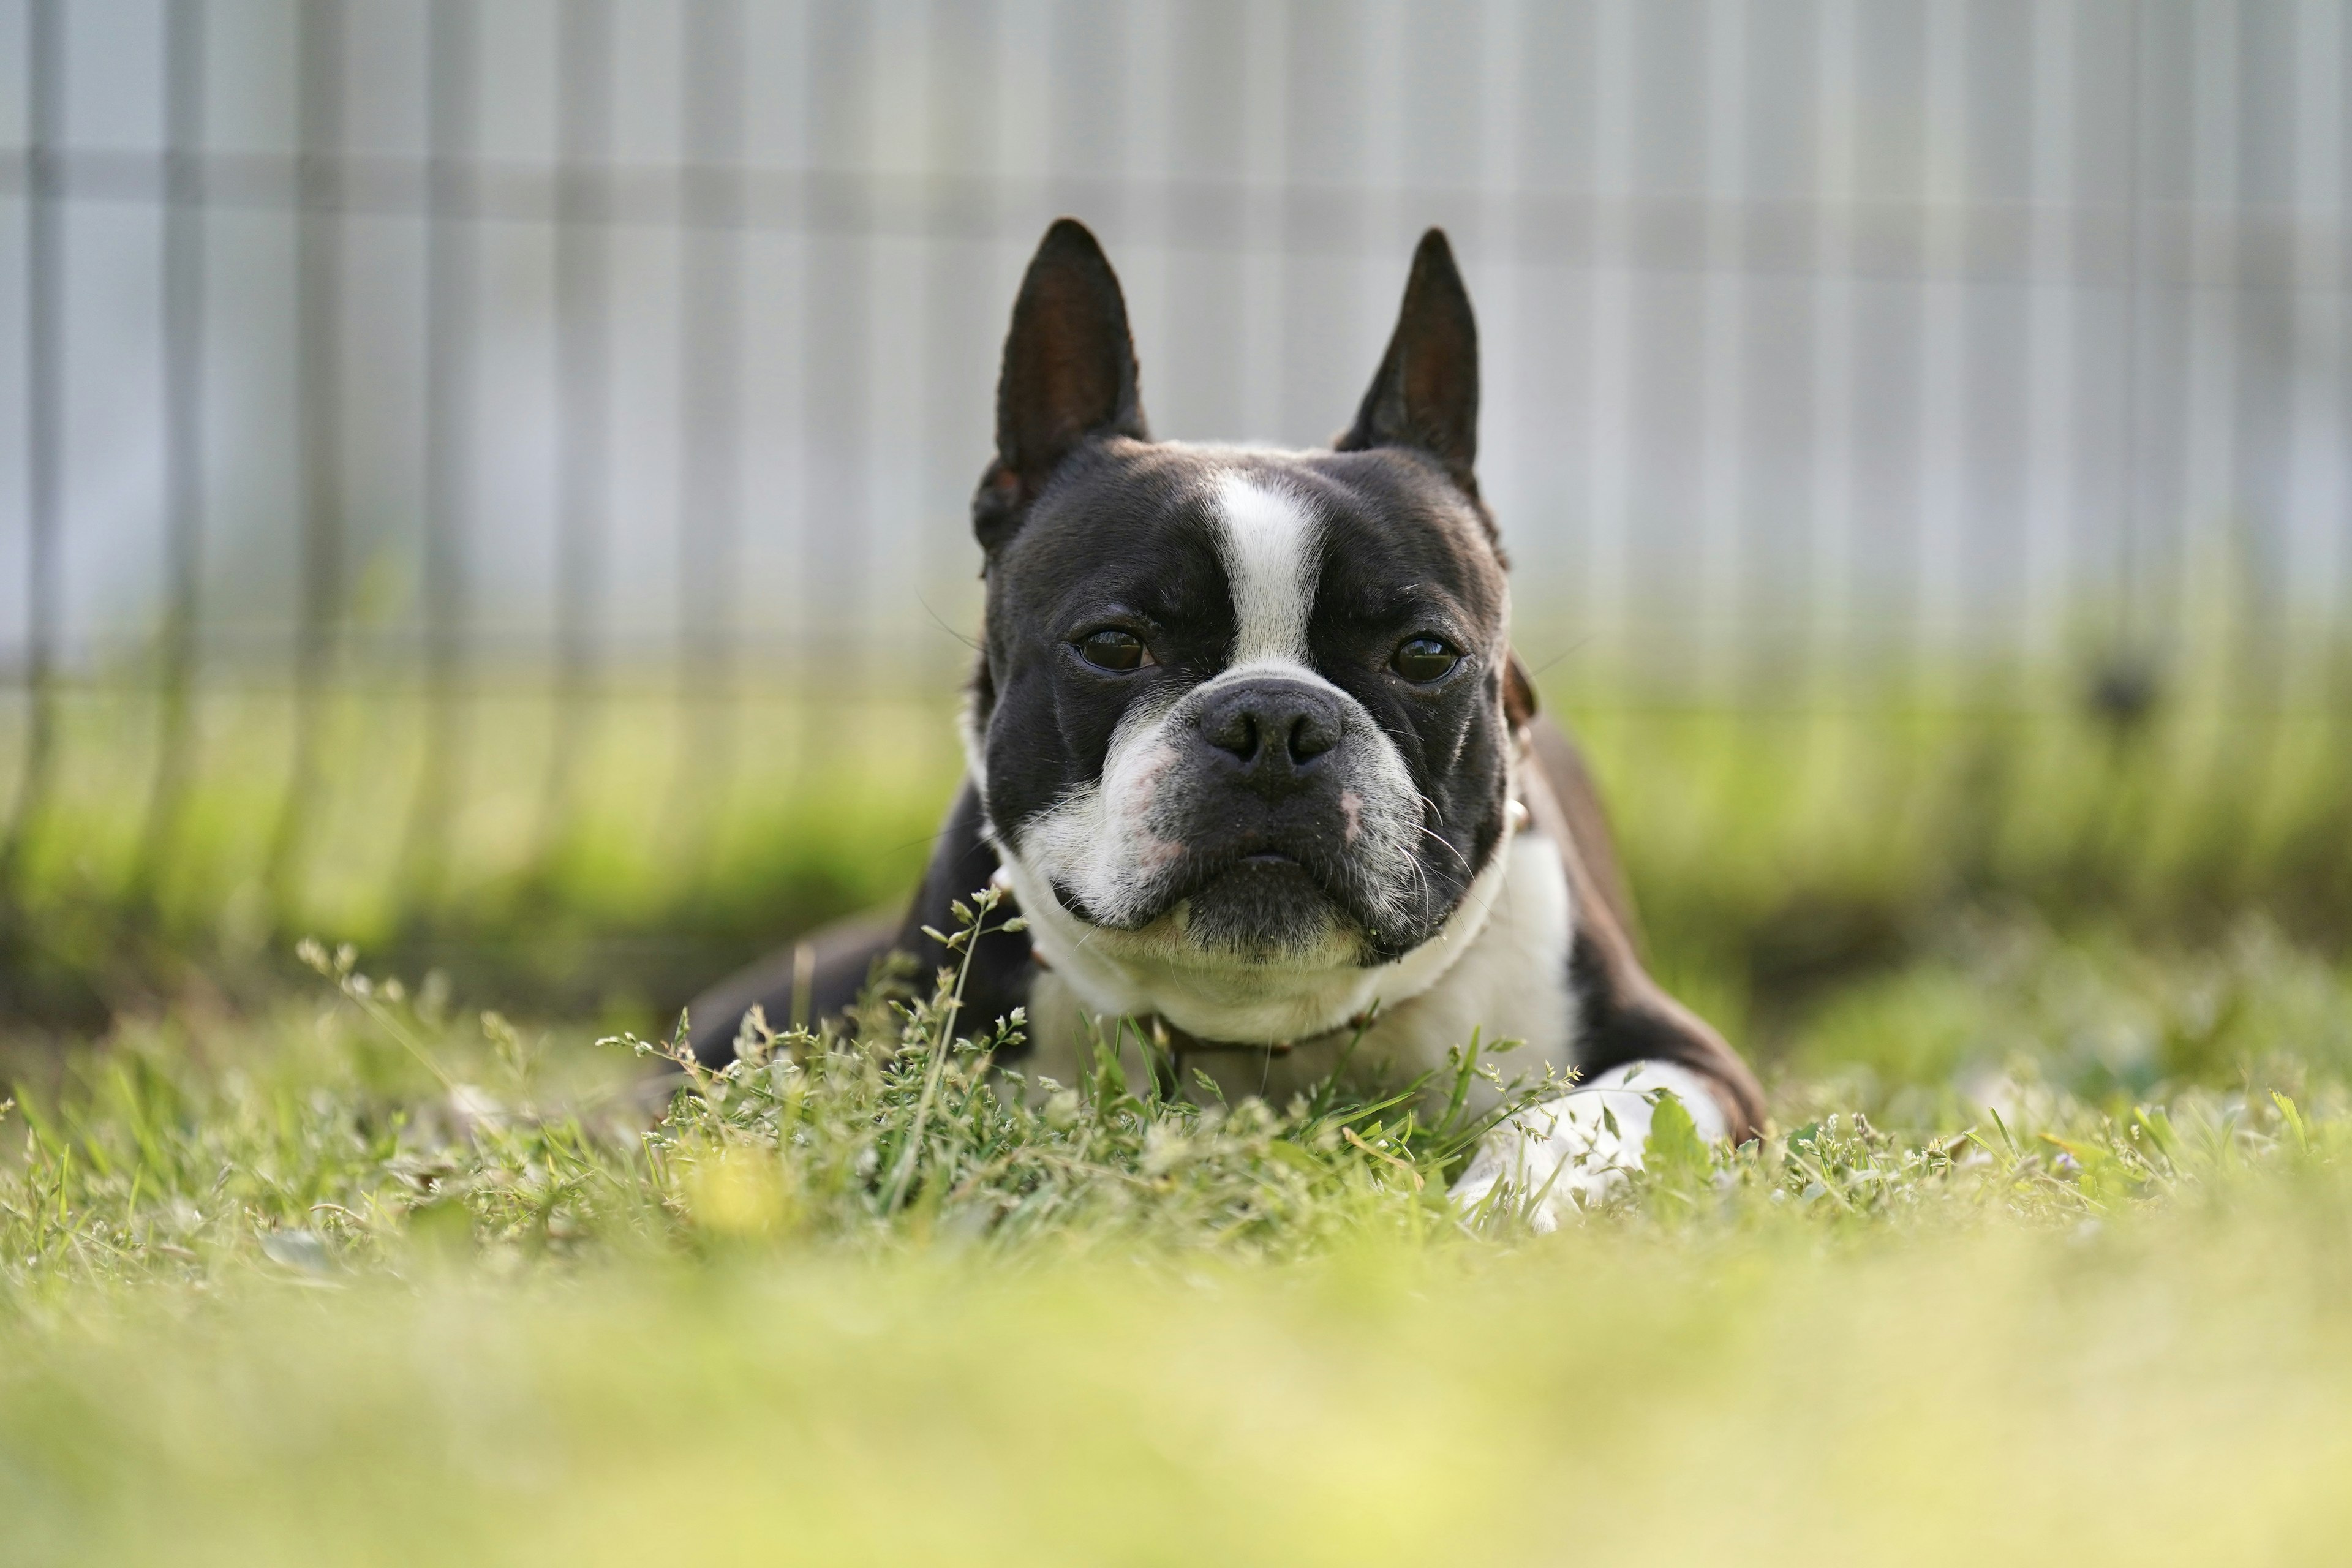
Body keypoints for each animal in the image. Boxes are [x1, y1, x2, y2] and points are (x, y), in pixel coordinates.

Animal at [691, 221, 1768, 1222]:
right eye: (1113, 645)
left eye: (1426, 655)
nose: (1276, 724)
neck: (1261, 1024)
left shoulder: (1691, 1064)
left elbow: (1579, 1118)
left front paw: (1511, 1205)